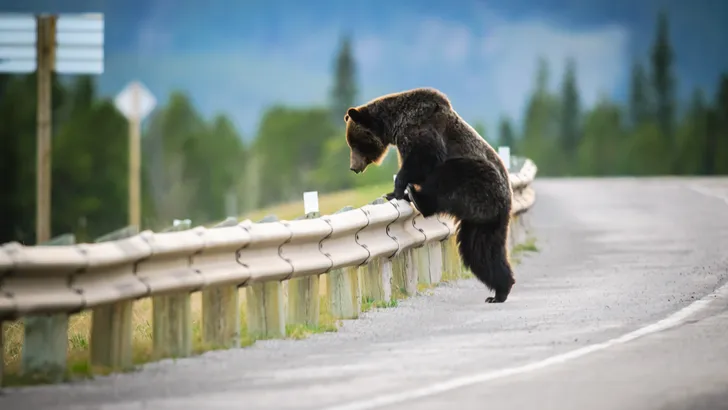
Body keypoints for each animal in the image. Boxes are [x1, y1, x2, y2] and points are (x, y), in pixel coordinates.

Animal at [344, 88, 516, 302]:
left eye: (355, 143)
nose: (354, 167)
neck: (394, 123)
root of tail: (507, 200)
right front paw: (393, 192)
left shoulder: (419, 129)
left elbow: (423, 159)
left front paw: (396, 191)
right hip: (483, 220)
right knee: (481, 249)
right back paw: (500, 290)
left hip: (480, 182)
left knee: (449, 176)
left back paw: (417, 198)